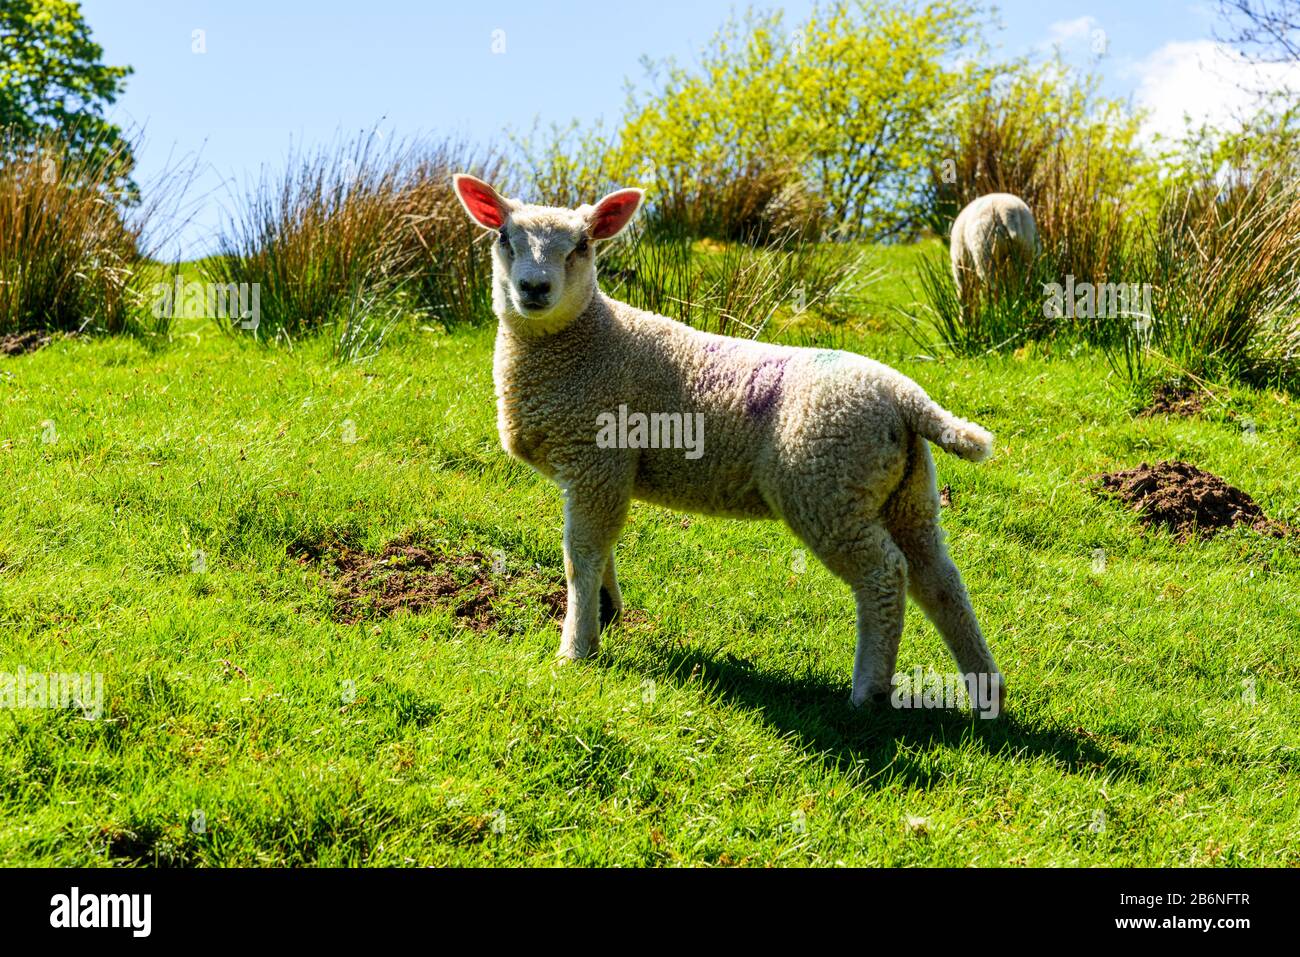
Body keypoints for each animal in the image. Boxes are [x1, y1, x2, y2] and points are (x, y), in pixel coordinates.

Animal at [451, 174, 1005, 713]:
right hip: (907, 494)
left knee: (885, 576)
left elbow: (580, 554)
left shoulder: (598, 460)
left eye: (583, 246)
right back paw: (985, 689)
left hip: (827, 489)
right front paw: (606, 612)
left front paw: (576, 647)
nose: (534, 288)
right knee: (939, 581)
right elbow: (600, 547)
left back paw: (868, 692)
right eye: (503, 238)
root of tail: (905, 397)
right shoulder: (601, 474)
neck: (584, 341)